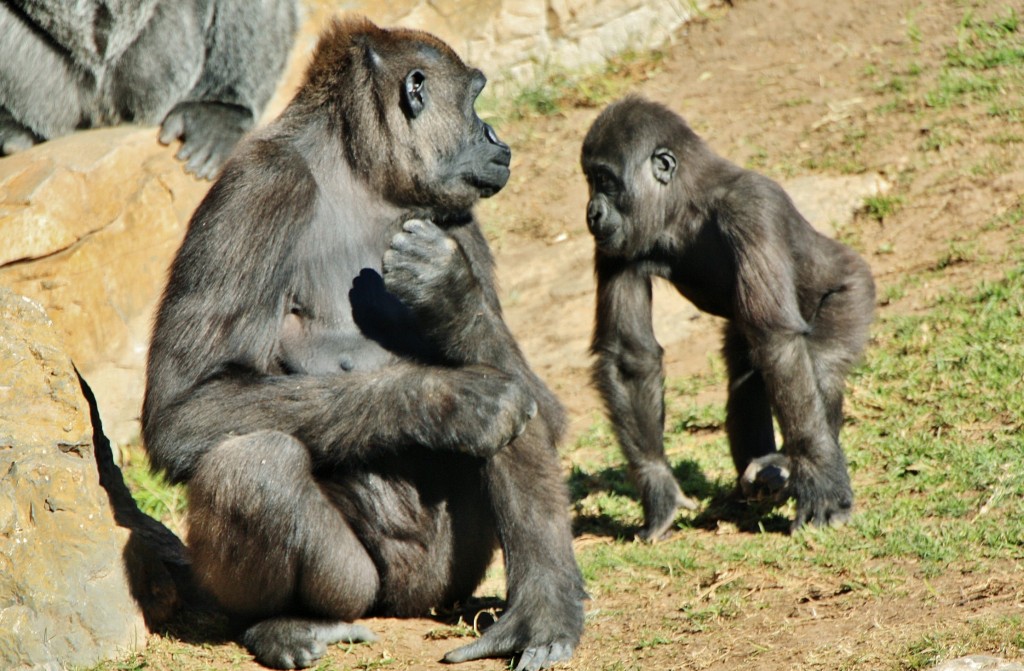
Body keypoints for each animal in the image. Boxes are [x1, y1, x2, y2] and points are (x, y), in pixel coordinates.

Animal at [142, 15, 585, 671]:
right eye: (475, 98)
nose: (495, 135)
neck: (358, 171)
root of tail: (403, 606)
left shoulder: (459, 217)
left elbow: (542, 410)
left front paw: (452, 296)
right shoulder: (259, 187)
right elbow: (184, 407)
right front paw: (451, 402)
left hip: (445, 580)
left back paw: (542, 610)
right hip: (364, 591)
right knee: (254, 466)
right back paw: (284, 623)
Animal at [581, 97, 876, 540]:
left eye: (605, 179)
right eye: (591, 180)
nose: (592, 212)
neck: (685, 203)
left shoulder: (751, 207)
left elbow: (777, 342)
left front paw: (820, 481)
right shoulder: (619, 242)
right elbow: (628, 356)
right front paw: (659, 491)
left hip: (854, 290)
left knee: (817, 363)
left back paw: (789, 465)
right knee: (747, 377)